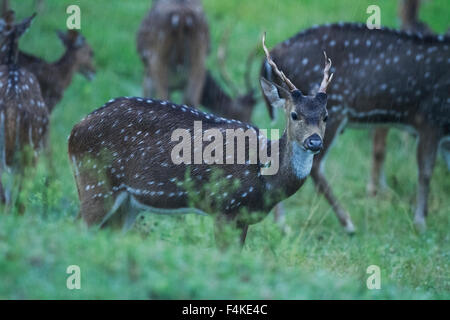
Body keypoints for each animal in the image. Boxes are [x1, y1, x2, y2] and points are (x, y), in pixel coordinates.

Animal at [67, 33, 334, 245]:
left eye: (326, 116)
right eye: (294, 114)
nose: (314, 142)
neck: (265, 175)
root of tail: (74, 131)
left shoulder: (244, 217)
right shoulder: (224, 205)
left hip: (127, 203)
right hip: (95, 183)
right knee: (78, 226)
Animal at [264, 23, 450, 232]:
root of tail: (275, 51)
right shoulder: (430, 117)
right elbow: (425, 172)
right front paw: (420, 223)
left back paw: (282, 224)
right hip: (336, 108)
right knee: (314, 166)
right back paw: (347, 223)